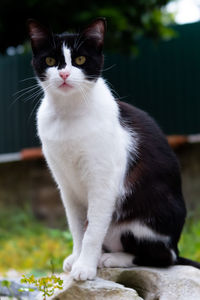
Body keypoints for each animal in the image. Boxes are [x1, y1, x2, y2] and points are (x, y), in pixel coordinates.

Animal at [27, 18, 200, 282]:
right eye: (50, 60)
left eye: (80, 60)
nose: (64, 73)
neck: (69, 112)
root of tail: (176, 245)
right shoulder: (66, 185)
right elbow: (77, 227)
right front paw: (77, 257)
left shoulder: (103, 180)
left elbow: (93, 230)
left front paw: (85, 266)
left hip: (143, 222)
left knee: (163, 257)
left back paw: (112, 258)